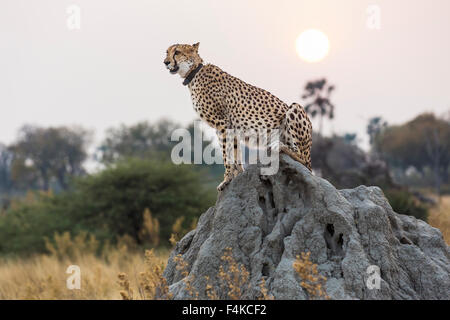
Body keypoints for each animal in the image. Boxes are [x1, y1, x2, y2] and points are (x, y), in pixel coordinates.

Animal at [163, 43, 312, 191]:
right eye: (167, 52)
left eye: (177, 52)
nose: (166, 62)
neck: (193, 73)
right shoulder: (231, 126)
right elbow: (235, 151)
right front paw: (238, 175)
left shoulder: (222, 123)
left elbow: (226, 153)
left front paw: (226, 179)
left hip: (295, 108)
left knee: (303, 159)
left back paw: (279, 146)